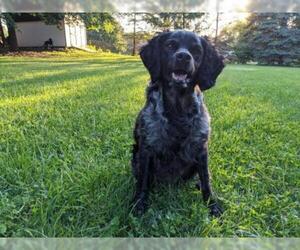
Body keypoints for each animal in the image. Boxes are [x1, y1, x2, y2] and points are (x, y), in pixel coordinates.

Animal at [132, 30, 224, 216]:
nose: (183, 57)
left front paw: (211, 204)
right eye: (170, 45)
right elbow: (142, 182)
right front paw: (139, 203)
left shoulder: (201, 148)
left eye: (196, 50)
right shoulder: (146, 148)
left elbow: (206, 180)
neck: (177, 109)